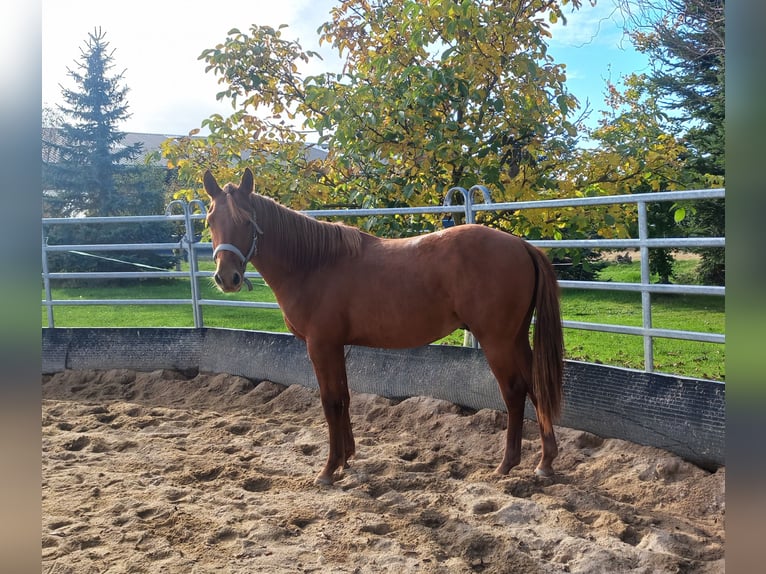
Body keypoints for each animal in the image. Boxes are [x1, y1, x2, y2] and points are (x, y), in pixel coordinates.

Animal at [202, 168, 564, 486]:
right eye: (210, 220)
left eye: (246, 220)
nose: (227, 278)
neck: (313, 263)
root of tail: (522, 245)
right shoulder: (336, 346)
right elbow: (344, 397)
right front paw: (346, 458)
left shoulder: (321, 345)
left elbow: (330, 402)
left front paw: (328, 470)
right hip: (516, 339)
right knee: (536, 388)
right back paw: (545, 462)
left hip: (497, 341)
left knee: (514, 392)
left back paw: (506, 465)